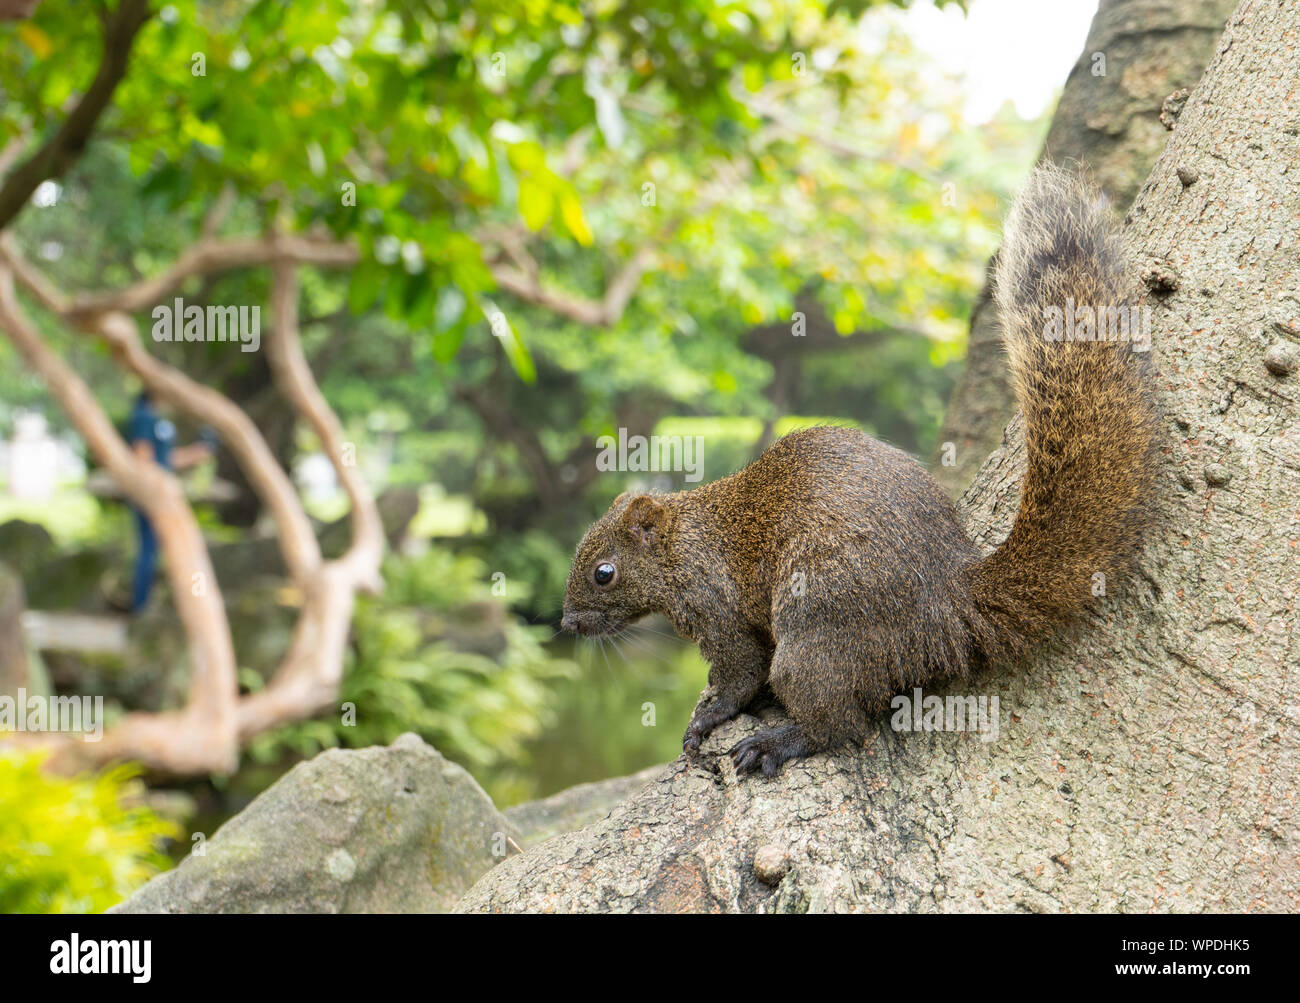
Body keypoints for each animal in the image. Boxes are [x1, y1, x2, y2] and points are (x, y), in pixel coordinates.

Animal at [559, 166, 1159, 774]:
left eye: (604, 572)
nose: (567, 624)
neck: (684, 538)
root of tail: (947, 602)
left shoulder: (712, 600)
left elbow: (739, 673)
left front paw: (705, 720)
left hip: (818, 624)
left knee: (838, 722)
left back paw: (777, 741)